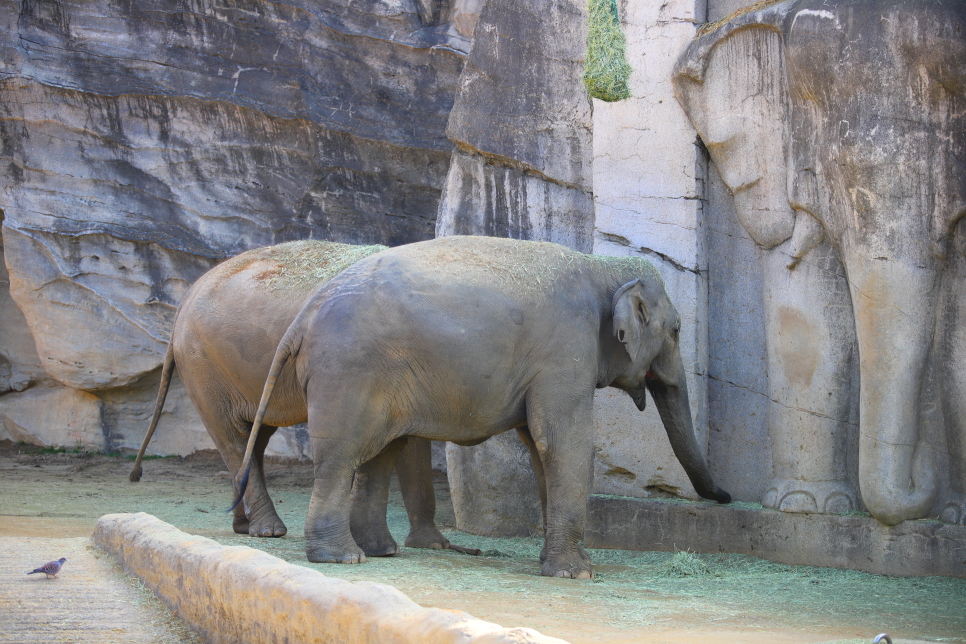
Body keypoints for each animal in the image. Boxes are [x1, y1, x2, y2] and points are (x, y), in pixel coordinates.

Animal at [130, 239, 478, 556]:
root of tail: (184, 300)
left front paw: (434, 544)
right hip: (203, 368)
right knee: (232, 437)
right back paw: (269, 530)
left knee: (254, 438)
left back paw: (244, 526)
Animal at [236, 235, 732, 580]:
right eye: (677, 331)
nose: (726, 497)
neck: (600, 266)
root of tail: (303, 315)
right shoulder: (565, 351)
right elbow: (562, 441)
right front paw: (577, 573)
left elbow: (539, 446)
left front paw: (556, 561)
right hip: (348, 372)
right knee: (341, 456)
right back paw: (342, 558)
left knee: (379, 454)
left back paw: (380, 550)